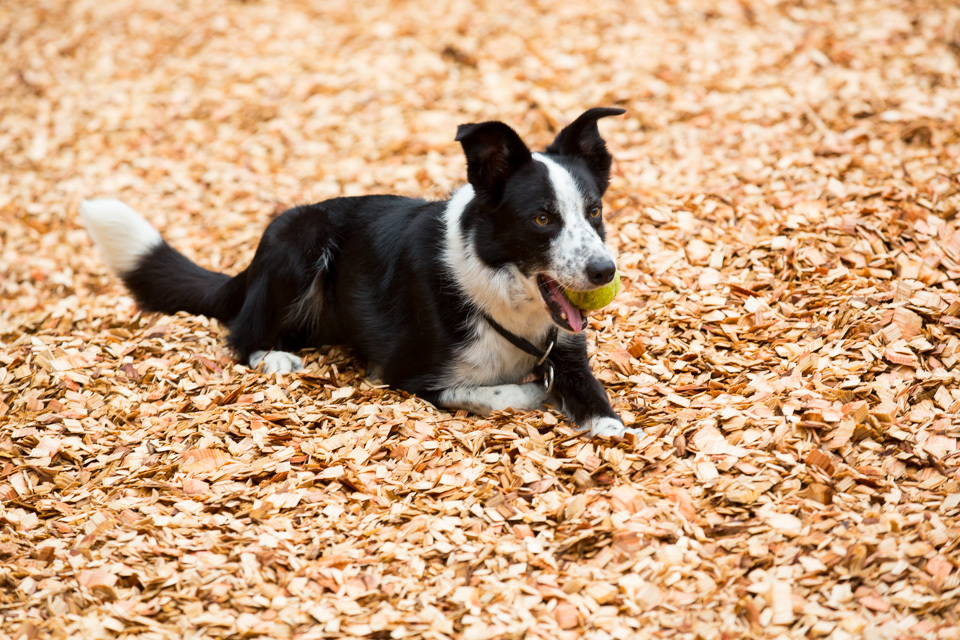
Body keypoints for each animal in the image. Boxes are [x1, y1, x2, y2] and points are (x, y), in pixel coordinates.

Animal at [82, 107, 636, 438]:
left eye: (593, 211)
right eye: (542, 218)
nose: (604, 271)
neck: (496, 292)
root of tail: (249, 268)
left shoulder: (566, 354)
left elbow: (598, 403)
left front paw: (612, 433)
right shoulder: (410, 375)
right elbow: (500, 393)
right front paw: (532, 393)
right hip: (301, 236)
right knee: (240, 336)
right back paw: (273, 356)